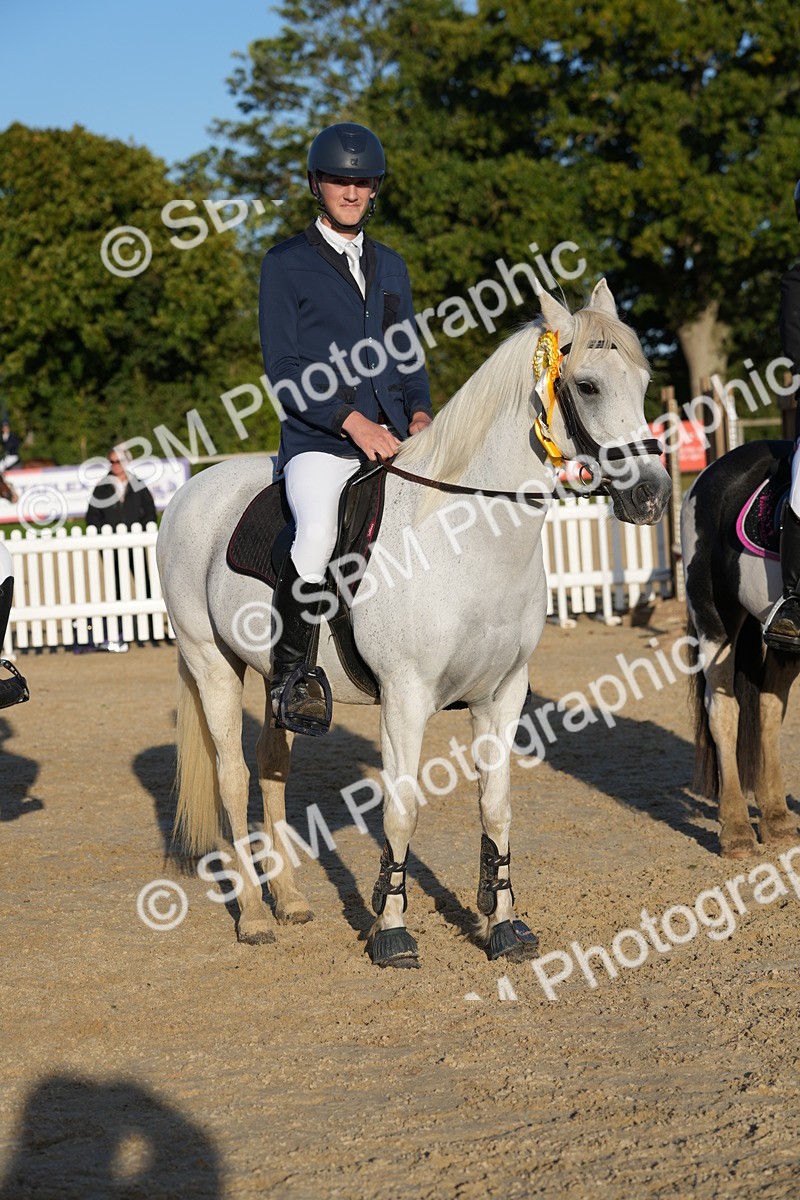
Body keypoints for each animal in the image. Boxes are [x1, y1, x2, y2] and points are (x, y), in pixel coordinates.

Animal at [157, 280, 671, 966]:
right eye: (586, 386)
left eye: (643, 381)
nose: (652, 496)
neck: (466, 540)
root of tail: (193, 489)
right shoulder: (404, 699)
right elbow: (401, 811)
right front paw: (391, 931)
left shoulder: (503, 695)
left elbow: (497, 807)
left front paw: (505, 925)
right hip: (211, 661)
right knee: (233, 778)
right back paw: (255, 918)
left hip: (274, 680)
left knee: (272, 768)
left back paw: (289, 901)